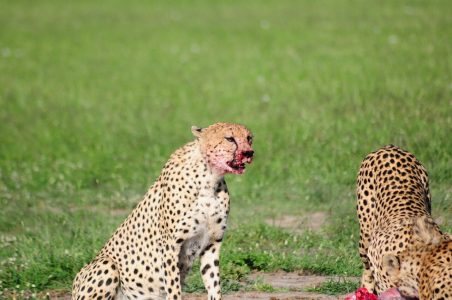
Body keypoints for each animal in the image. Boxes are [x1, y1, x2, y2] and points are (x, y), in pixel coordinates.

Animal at [72, 122, 252, 300]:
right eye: (229, 139)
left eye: (249, 138)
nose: (249, 152)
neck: (209, 178)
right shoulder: (171, 247)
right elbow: (174, 289)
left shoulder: (211, 245)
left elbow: (214, 286)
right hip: (106, 264)